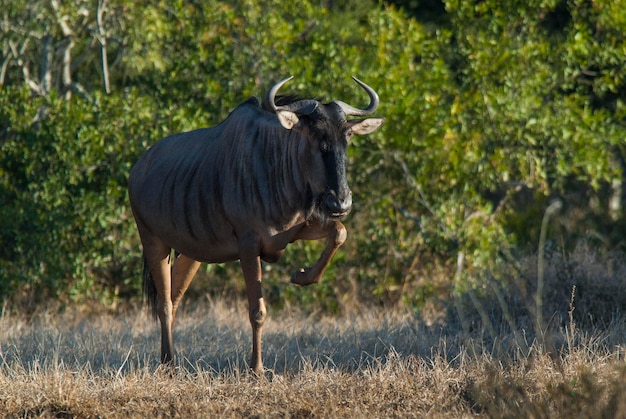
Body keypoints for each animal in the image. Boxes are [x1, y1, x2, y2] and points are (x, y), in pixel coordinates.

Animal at [127, 76, 382, 374]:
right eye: (316, 136)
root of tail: (138, 169)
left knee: (174, 298)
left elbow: (340, 232)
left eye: (347, 137)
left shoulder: (295, 230)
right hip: (153, 242)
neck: (277, 165)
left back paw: (169, 361)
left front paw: (302, 276)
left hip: (191, 253)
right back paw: (168, 364)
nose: (340, 202)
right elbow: (257, 311)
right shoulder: (249, 245)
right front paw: (257, 368)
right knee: (164, 303)